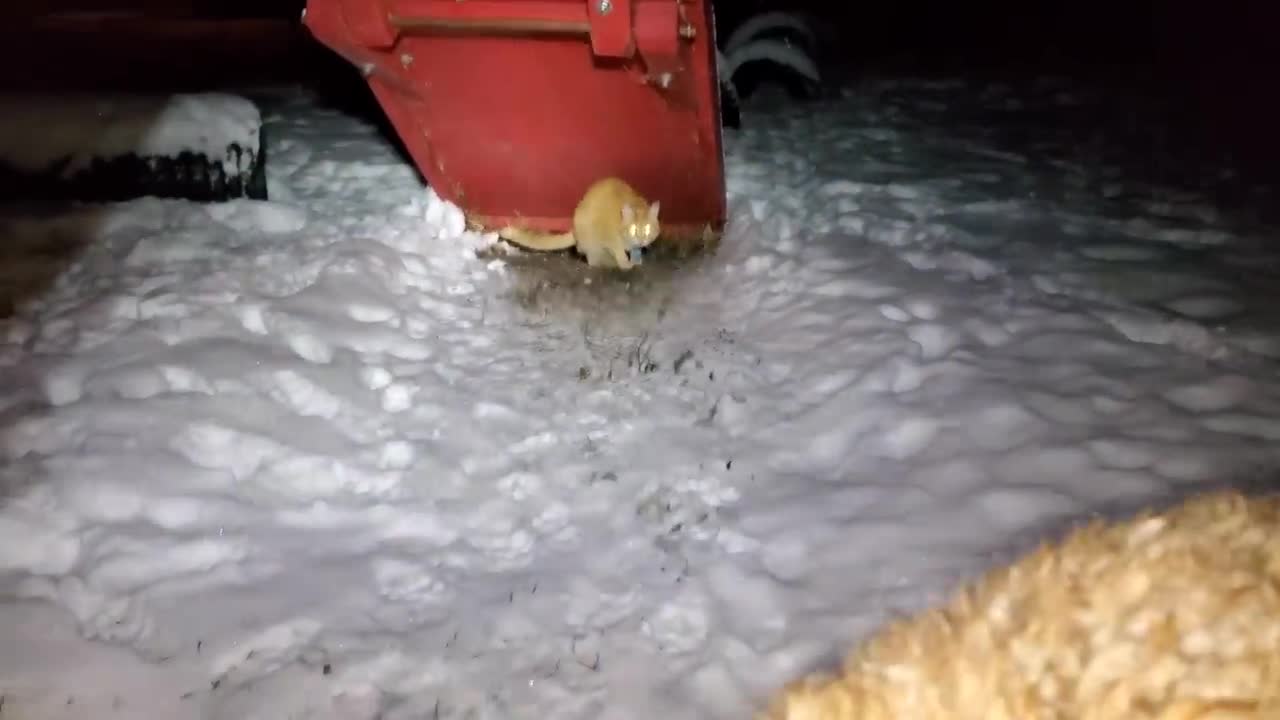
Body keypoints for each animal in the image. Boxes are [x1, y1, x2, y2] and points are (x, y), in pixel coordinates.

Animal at [496, 175, 665, 269]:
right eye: (633, 229)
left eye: (648, 229)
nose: (641, 240)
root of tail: (574, 228)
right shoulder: (611, 237)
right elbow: (619, 253)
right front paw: (625, 263)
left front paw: (637, 258)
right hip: (591, 237)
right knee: (592, 258)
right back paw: (609, 262)